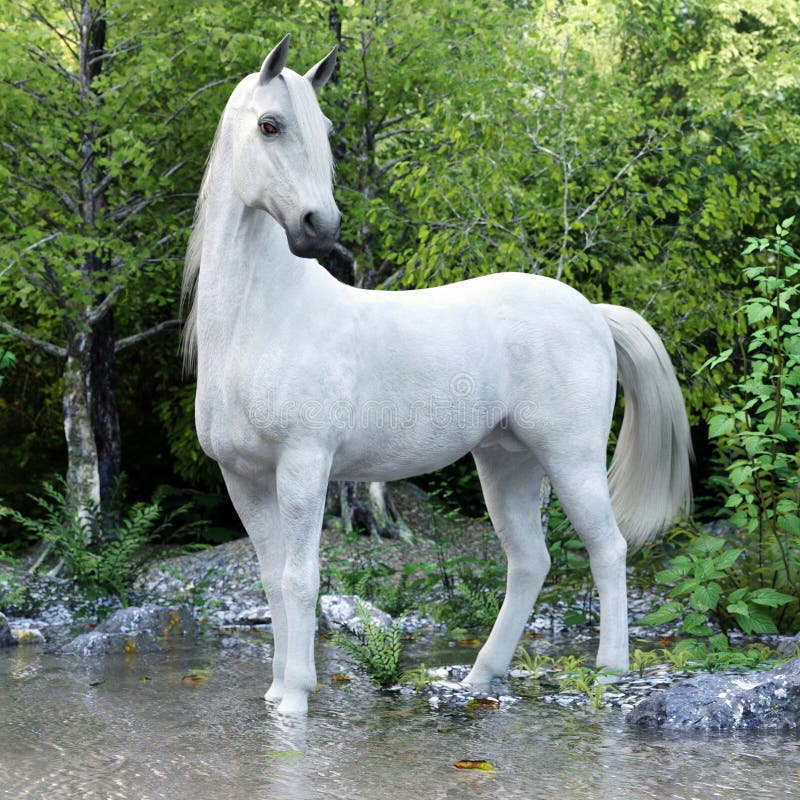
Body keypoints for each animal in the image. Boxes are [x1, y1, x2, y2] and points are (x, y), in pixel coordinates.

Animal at [183, 34, 692, 716]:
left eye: (324, 128)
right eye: (269, 125)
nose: (321, 227)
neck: (258, 325)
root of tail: (592, 312)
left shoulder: (304, 465)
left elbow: (300, 578)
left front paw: (295, 698)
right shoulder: (244, 479)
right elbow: (269, 577)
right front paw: (276, 691)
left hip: (570, 456)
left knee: (606, 547)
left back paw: (609, 672)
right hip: (507, 462)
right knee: (530, 562)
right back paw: (481, 677)